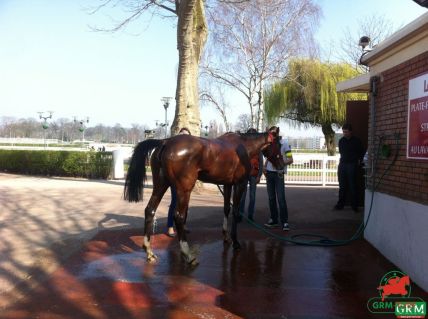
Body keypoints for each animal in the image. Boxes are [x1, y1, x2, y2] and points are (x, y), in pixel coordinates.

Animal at [123, 131, 274, 266]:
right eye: (277, 141)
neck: (243, 146)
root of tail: (165, 142)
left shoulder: (227, 184)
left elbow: (226, 208)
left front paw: (226, 237)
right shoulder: (240, 183)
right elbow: (235, 211)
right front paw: (236, 242)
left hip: (161, 183)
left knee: (150, 210)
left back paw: (149, 251)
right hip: (184, 189)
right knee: (178, 216)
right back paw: (187, 255)